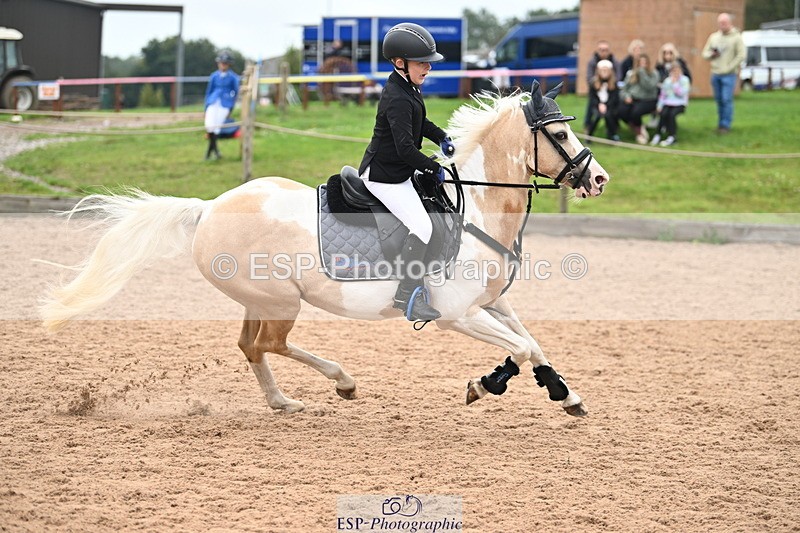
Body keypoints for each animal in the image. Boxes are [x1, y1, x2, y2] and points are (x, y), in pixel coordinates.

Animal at [41, 81, 609, 416]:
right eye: (559, 135)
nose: (599, 179)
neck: (478, 215)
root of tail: (208, 208)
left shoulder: (493, 302)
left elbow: (533, 342)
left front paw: (565, 394)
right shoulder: (456, 314)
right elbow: (520, 348)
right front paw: (486, 384)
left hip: (259, 299)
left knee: (251, 346)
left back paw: (282, 401)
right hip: (281, 300)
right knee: (269, 344)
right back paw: (343, 382)